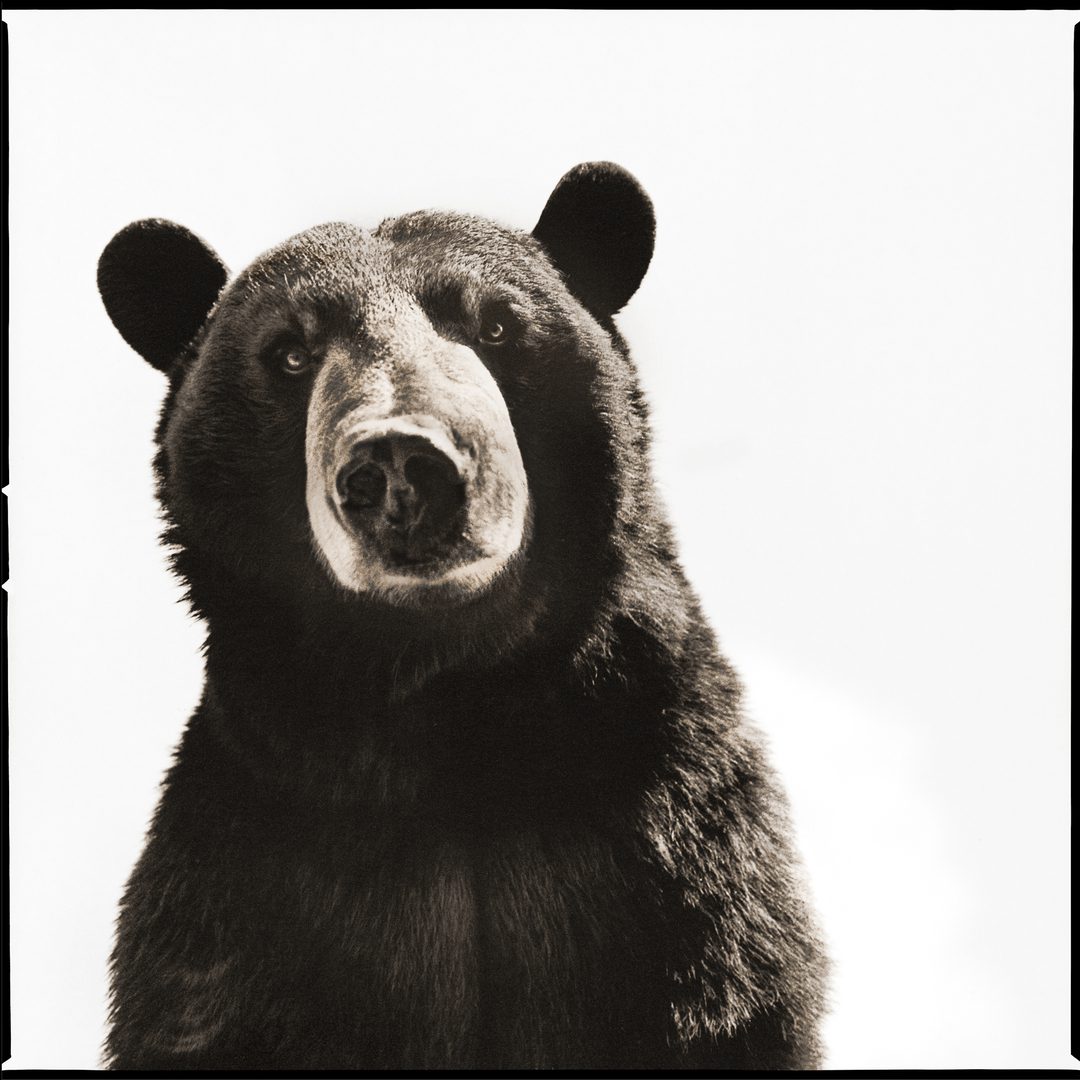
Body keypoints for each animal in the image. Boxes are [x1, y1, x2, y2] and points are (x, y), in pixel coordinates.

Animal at [96, 162, 827, 1070]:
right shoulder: (241, 894)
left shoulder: (675, 865)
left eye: (499, 322)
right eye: (291, 353)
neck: (451, 697)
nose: (402, 466)